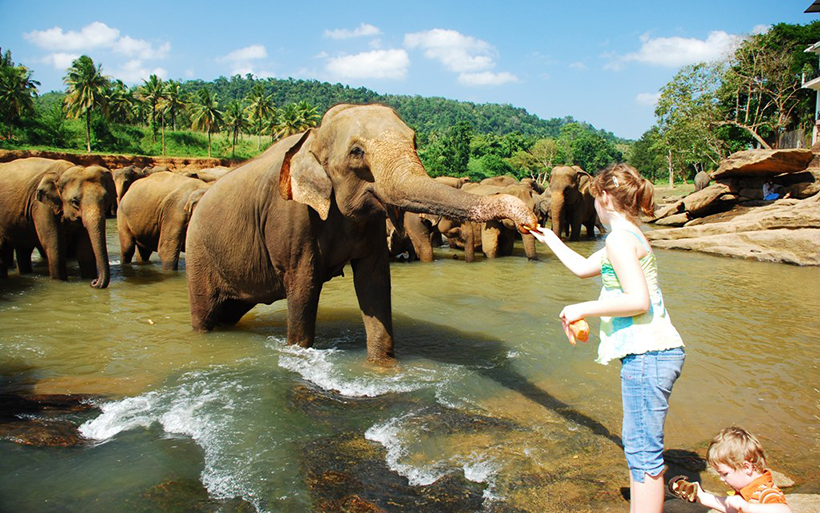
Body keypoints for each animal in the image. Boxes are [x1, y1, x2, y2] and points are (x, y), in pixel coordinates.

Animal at [0, 158, 115, 288]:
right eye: (74, 201)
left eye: (106, 199)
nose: (94, 282)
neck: (65, 171)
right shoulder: (41, 206)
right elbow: (54, 244)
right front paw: (60, 282)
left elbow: (84, 248)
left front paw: (87, 279)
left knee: (24, 249)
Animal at [183, 102, 536, 362]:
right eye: (356, 152)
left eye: (415, 142)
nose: (530, 217)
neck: (314, 135)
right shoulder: (292, 217)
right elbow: (303, 287)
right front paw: (298, 353)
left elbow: (374, 283)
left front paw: (382, 366)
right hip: (199, 253)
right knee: (205, 316)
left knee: (229, 312)